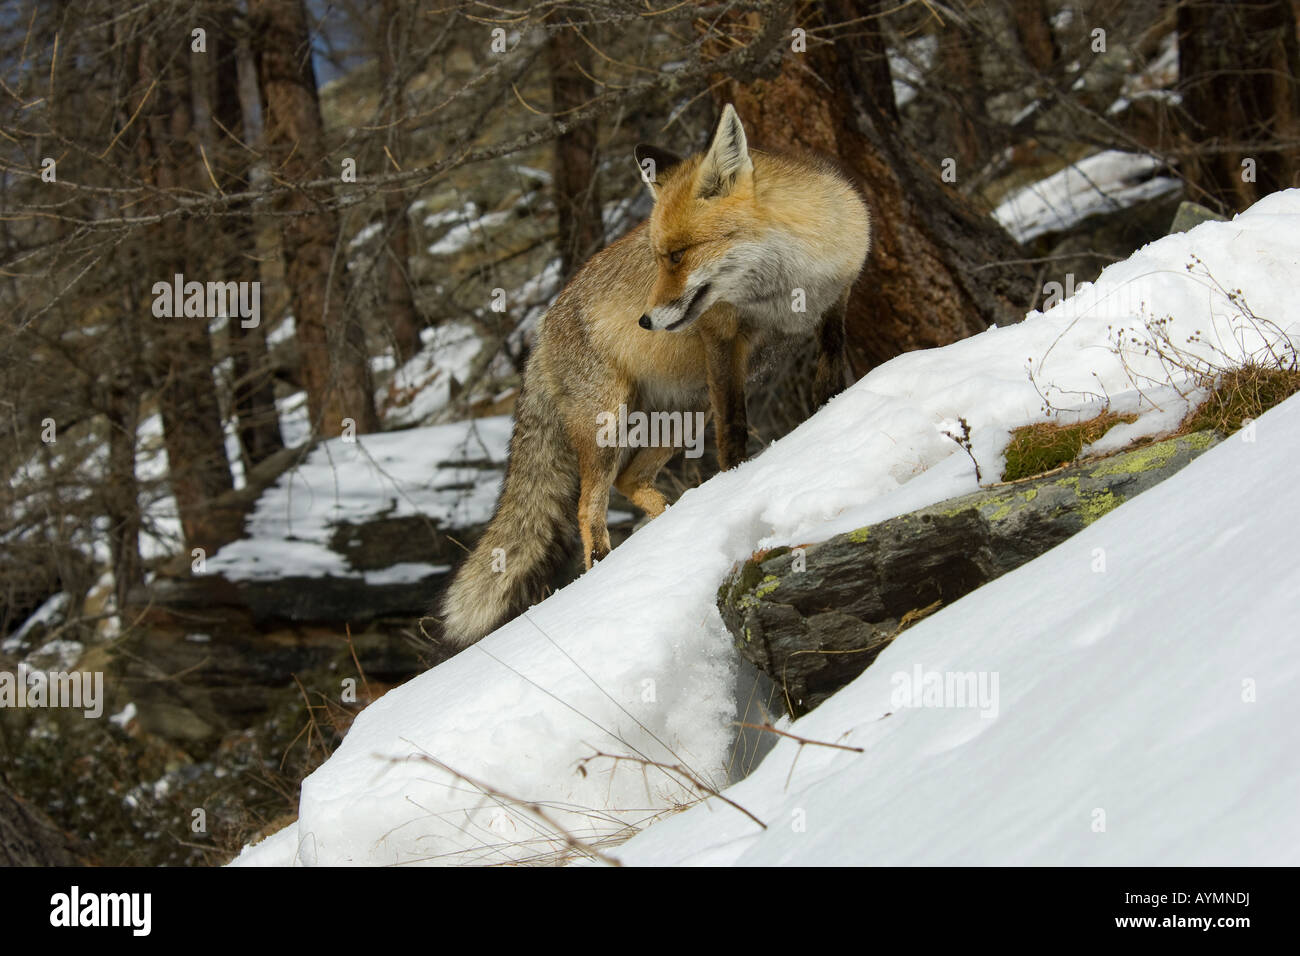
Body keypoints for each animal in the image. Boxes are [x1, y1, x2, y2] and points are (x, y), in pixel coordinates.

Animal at [436, 104, 873, 647]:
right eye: (658, 256)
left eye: (678, 255)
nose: (645, 321)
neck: (788, 290)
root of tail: (540, 332)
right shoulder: (722, 340)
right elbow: (734, 434)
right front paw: (738, 487)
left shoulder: (836, 302)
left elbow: (830, 376)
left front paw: (835, 415)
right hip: (610, 425)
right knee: (589, 506)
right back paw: (603, 567)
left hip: (683, 414)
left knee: (630, 478)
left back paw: (671, 527)